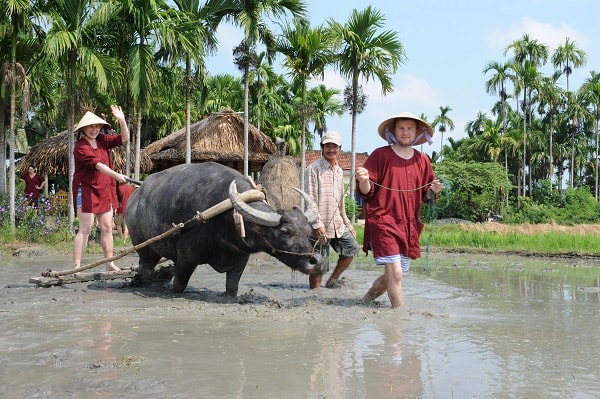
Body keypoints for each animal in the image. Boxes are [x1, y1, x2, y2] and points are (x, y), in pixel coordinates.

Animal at [125, 161, 324, 296]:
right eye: (285, 232)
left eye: (308, 232)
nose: (316, 262)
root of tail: (135, 197)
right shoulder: (186, 257)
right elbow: (179, 285)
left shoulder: (240, 259)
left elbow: (232, 287)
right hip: (140, 242)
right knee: (146, 266)